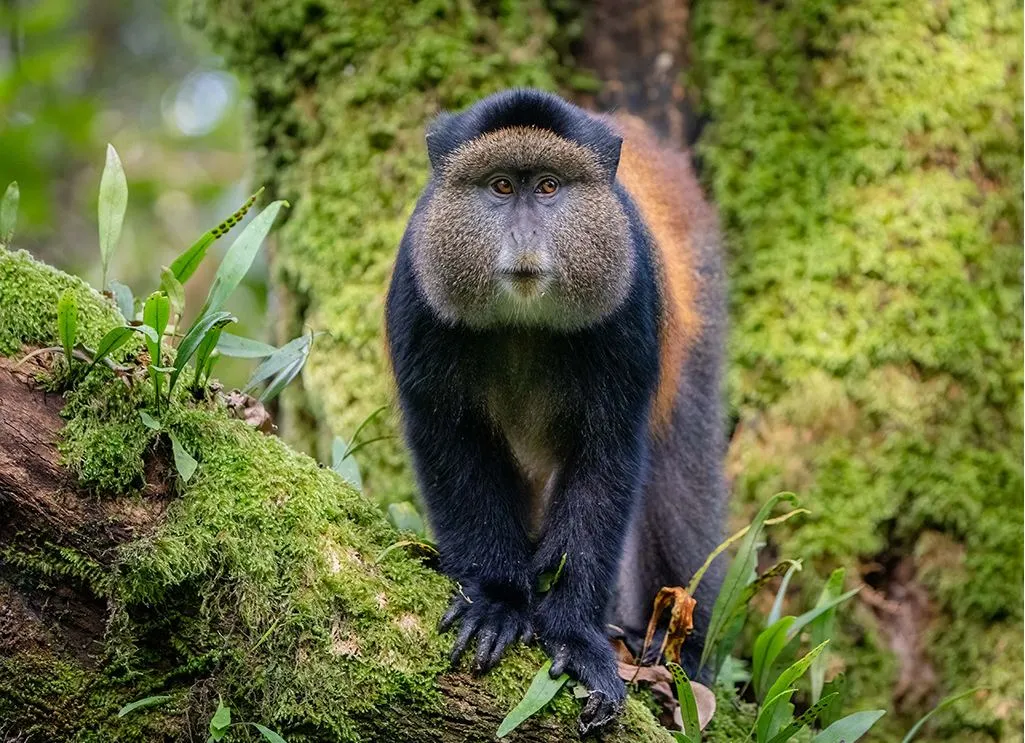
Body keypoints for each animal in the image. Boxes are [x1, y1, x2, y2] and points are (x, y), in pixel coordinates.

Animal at [384, 89, 727, 735]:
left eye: (547, 187)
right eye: (500, 187)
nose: (524, 234)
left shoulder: (629, 305)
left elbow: (608, 458)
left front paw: (575, 637)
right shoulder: (418, 295)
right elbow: (449, 441)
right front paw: (496, 601)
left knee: (681, 479)